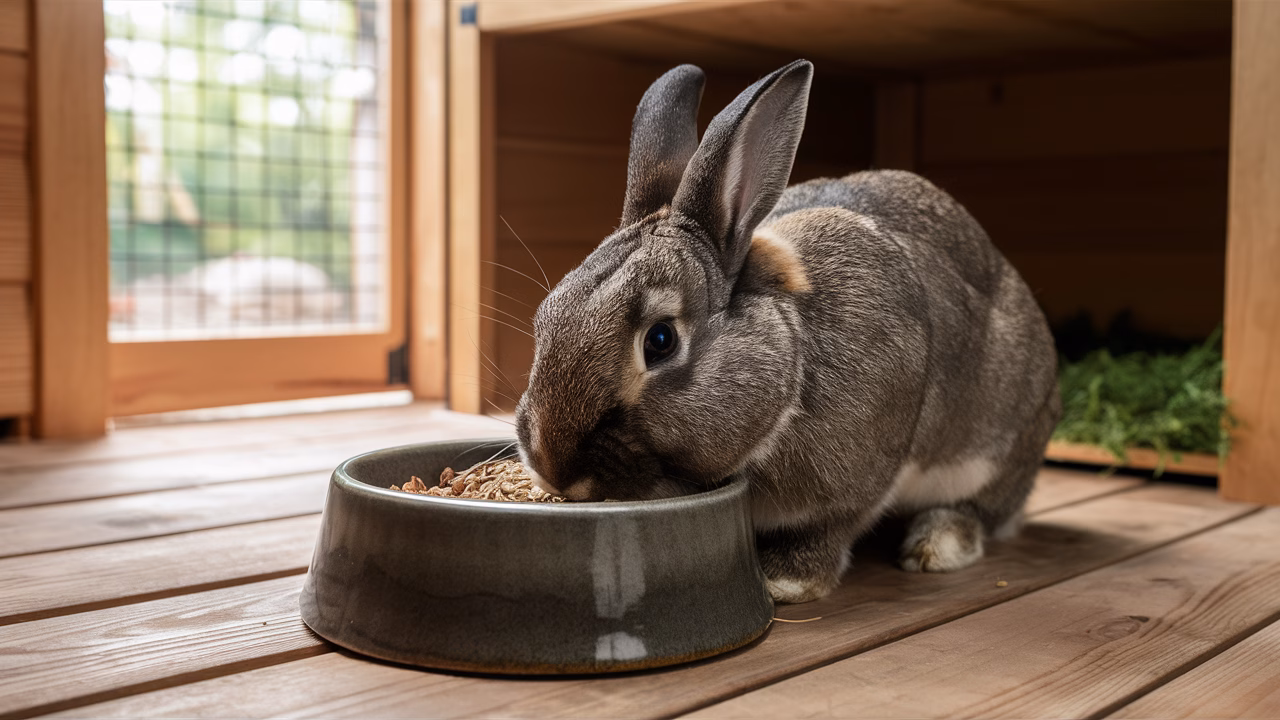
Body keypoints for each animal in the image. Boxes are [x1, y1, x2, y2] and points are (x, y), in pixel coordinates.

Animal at [514, 60, 1061, 604]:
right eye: (546, 316)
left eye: (660, 340)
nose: (552, 469)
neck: (791, 362)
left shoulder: (858, 480)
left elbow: (831, 526)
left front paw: (785, 582)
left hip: (1002, 445)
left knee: (982, 510)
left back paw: (938, 545)